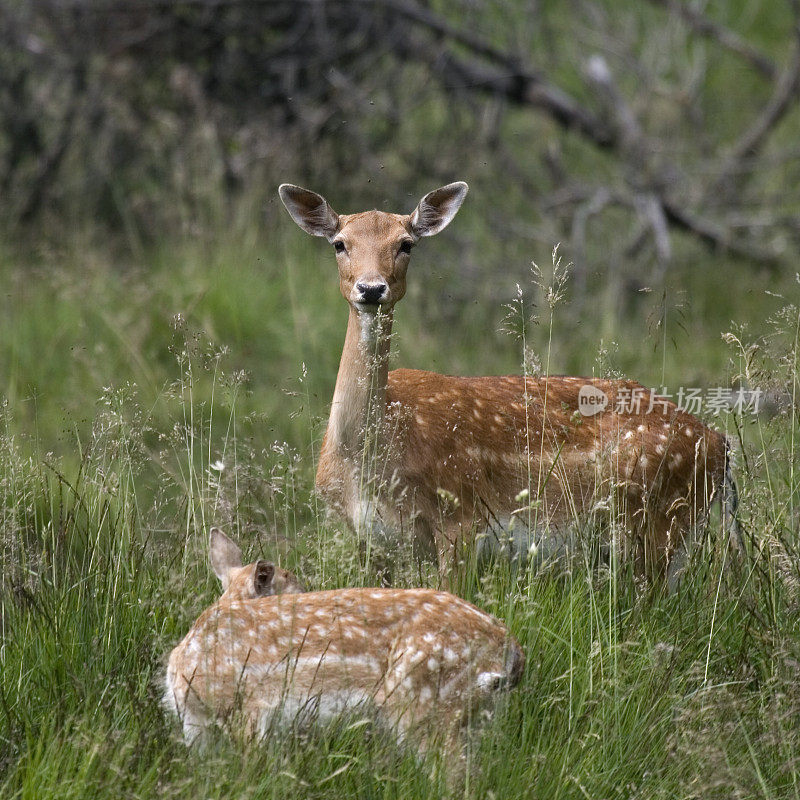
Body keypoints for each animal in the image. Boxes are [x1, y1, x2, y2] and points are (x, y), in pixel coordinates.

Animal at [278, 181, 740, 584]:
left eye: (406, 244)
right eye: (339, 243)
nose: (371, 288)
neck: (367, 461)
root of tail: (720, 444)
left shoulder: (463, 520)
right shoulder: (368, 541)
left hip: (659, 524)